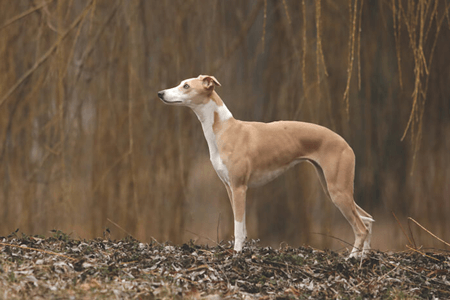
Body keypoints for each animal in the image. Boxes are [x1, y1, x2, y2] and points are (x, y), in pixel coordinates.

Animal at [158, 75, 372, 258]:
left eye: (186, 86)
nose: (160, 93)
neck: (225, 129)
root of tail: (346, 144)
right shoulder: (229, 188)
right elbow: (242, 226)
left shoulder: (239, 187)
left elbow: (238, 228)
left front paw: (236, 254)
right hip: (332, 188)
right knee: (368, 220)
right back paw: (365, 256)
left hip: (338, 190)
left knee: (361, 228)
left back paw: (352, 258)